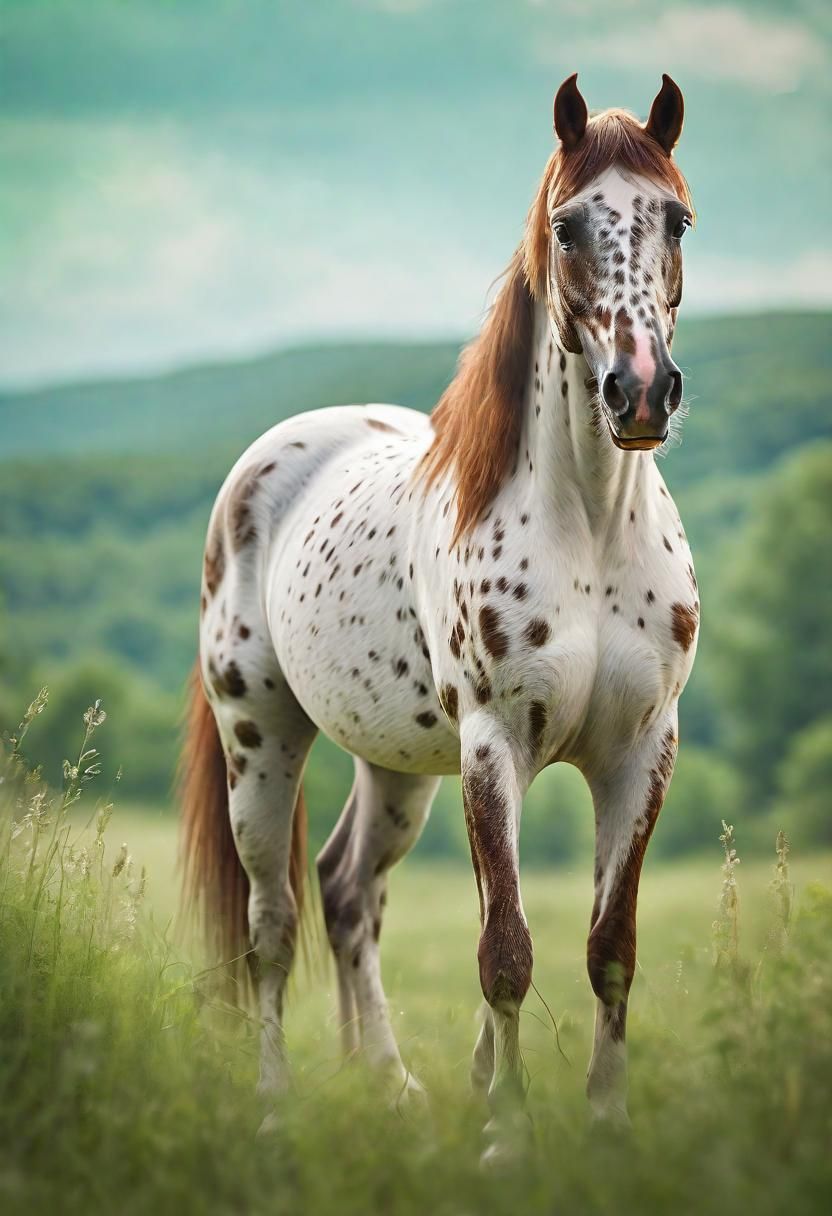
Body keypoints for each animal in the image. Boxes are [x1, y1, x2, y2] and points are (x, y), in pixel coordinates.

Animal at [180, 73, 699, 1162]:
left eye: (674, 218)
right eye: (567, 225)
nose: (640, 391)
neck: (589, 528)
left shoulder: (641, 751)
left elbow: (610, 948)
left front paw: (606, 1126)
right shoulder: (493, 747)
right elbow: (504, 949)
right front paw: (507, 1136)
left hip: (396, 766)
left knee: (345, 894)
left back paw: (392, 1089)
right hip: (261, 743)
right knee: (272, 926)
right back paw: (274, 1110)